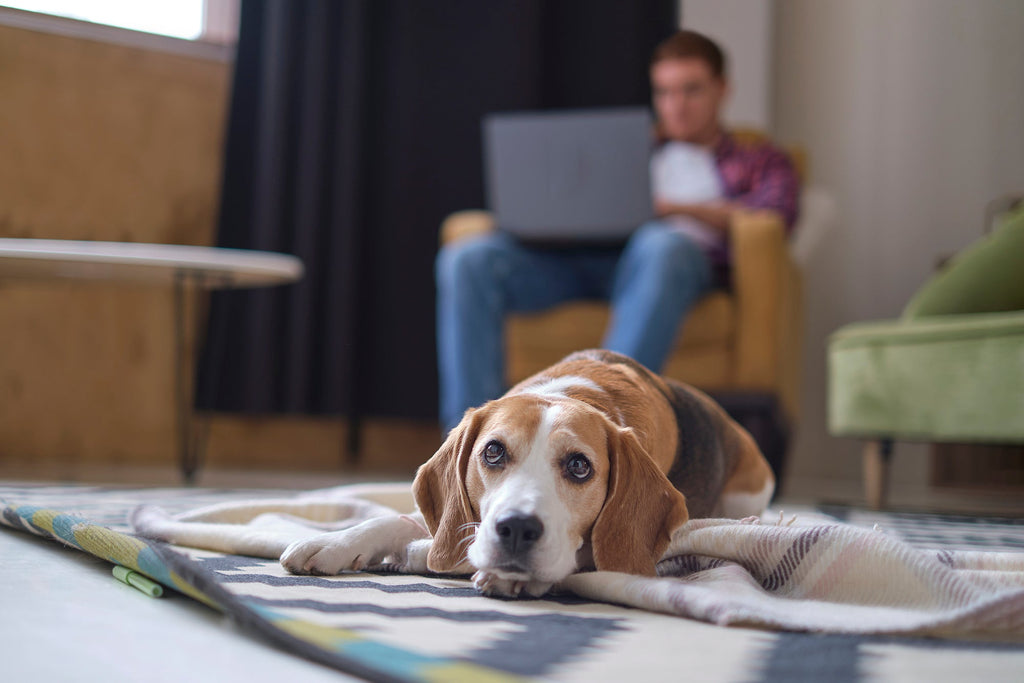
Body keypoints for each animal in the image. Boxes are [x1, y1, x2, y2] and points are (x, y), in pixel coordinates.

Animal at [276, 352, 770, 598]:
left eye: (579, 466)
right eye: (493, 452)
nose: (515, 529)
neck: (573, 391)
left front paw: (499, 575)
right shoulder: (460, 517)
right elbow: (398, 520)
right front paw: (335, 542)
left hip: (748, 491)